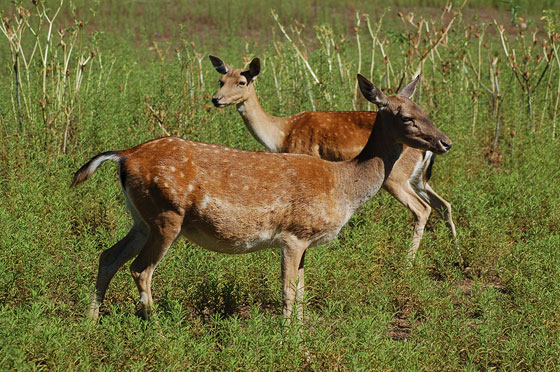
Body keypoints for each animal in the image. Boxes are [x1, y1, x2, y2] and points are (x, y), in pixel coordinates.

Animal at [72, 73, 452, 322]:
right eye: (406, 116)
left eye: (425, 110)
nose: (445, 141)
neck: (344, 184)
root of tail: (124, 155)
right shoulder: (294, 234)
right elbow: (288, 291)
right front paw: (289, 341)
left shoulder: (305, 241)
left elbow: (302, 292)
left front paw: (301, 335)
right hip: (167, 214)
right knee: (140, 270)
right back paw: (158, 329)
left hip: (141, 218)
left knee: (108, 256)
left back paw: (90, 323)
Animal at [210, 56, 460, 264]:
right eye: (221, 80)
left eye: (242, 82)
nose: (216, 99)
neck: (281, 134)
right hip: (418, 179)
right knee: (443, 204)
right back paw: (456, 248)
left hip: (397, 178)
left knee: (422, 208)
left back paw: (407, 263)